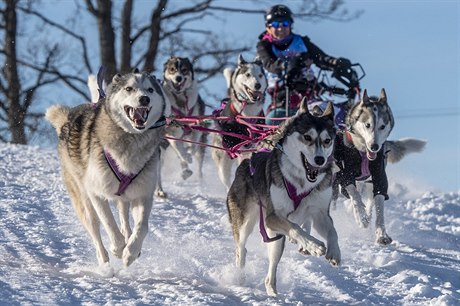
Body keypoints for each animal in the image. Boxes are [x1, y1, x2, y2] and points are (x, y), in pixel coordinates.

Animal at [46, 70, 169, 266]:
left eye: (150, 89)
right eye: (129, 88)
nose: (144, 99)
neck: (131, 140)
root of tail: (69, 117)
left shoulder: (143, 194)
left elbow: (142, 227)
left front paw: (131, 252)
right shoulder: (96, 193)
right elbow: (109, 224)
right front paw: (118, 249)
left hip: (124, 197)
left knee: (124, 218)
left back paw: (128, 238)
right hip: (83, 198)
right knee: (94, 227)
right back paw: (103, 260)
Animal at [159, 56, 208, 196]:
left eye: (184, 70)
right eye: (172, 69)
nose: (178, 78)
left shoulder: (197, 128)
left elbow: (193, 146)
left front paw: (189, 153)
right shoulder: (170, 132)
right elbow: (180, 149)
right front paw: (186, 156)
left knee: (198, 162)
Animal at [226, 100, 338, 296]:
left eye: (327, 141)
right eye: (307, 137)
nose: (320, 160)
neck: (302, 182)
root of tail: (247, 162)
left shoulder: (320, 214)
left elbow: (332, 231)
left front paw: (334, 252)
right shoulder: (273, 217)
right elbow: (295, 228)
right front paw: (314, 245)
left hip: (275, 239)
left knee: (271, 268)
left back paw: (272, 290)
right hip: (246, 223)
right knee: (241, 249)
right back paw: (239, 278)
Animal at [332, 88, 426, 244]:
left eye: (382, 126)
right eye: (367, 125)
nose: (374, 146)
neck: (363, 152)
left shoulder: (379, 176)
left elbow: (379, 205)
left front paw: (381, 234)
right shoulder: (344, 175)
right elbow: (354, 194)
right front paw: (361, 216)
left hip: (369, 182)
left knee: (369, 199)